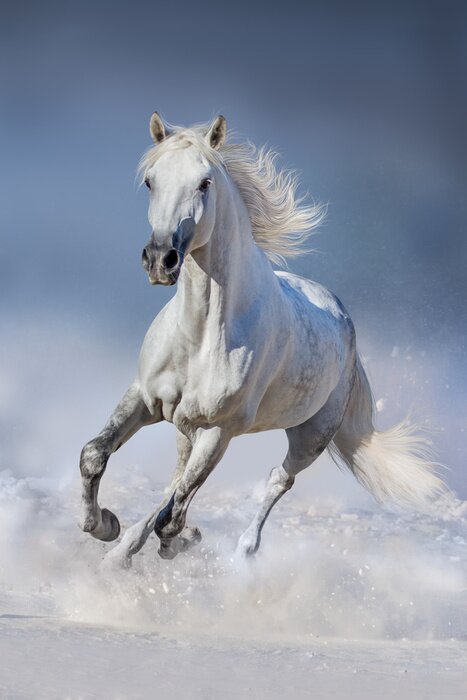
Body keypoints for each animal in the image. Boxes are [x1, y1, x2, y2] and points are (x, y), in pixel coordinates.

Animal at [79, 113, 445, 568]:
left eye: (204, 183)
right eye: (150, 180)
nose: (161, 259)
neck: (200, 336)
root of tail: (344, 320)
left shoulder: (218, 431)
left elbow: (173, 515)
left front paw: (174, 541)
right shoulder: (144, 399)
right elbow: (95, 455)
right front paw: (104, 527)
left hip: (310, 436)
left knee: (276, 481)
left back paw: (242, 550)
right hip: (187, 427)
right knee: (176, 479)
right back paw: (124, 549)